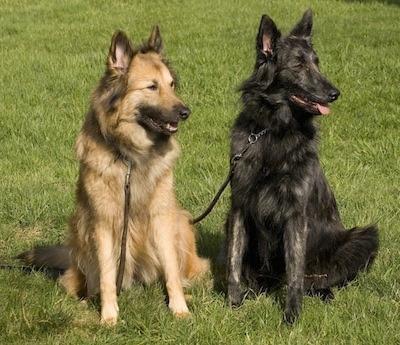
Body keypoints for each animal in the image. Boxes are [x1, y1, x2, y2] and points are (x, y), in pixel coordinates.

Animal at [18, 25, 209, 324]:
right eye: (152, 86)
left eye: (171, 84)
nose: (185, 112)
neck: (131, 156)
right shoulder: (103, 223)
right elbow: (107, 276)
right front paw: (109, 316)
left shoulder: (162, 218)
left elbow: (171, 272)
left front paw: (179, 308)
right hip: (79, 232)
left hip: (180, 222)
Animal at [225, 9, 378, 324]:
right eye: (297, 65)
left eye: (317, 62)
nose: (335, 93)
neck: (274, 132)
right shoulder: (239, 207)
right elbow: (234, 260)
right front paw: (234, 303)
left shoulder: (295, 215)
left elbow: (295, 270)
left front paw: (292, 315)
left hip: (365, 238)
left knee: (316, 279)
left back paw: (321, 292)